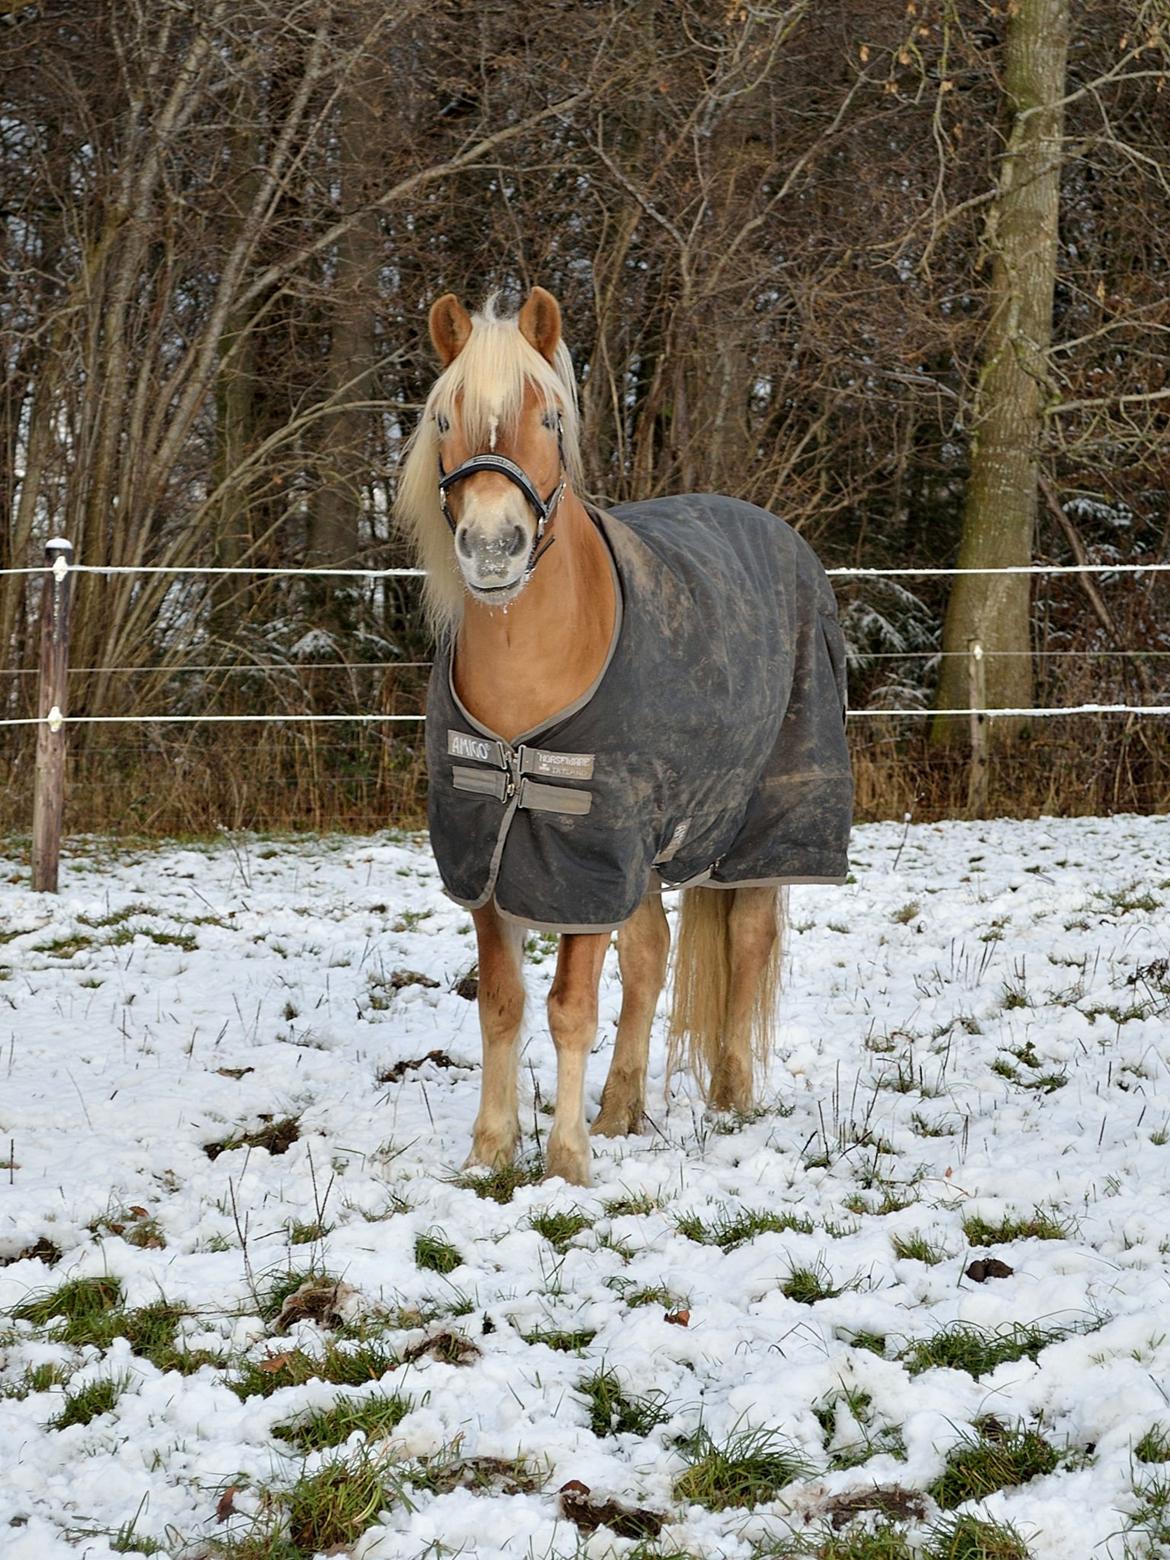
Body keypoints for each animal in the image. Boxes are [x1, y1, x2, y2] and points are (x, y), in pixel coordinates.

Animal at [394, 290, 854, 1179]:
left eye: (548, 417)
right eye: (443, 418)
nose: (493, 550)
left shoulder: (588, 857)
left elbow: (571, 1006)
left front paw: (565, 1163)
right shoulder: (492, 853)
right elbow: (503, 1003)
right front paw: (491, 1151)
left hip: (760, 832)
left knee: (745, 940)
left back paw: (730, 1099)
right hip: (645, 853)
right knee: (651, 959)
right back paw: (620, 1110)